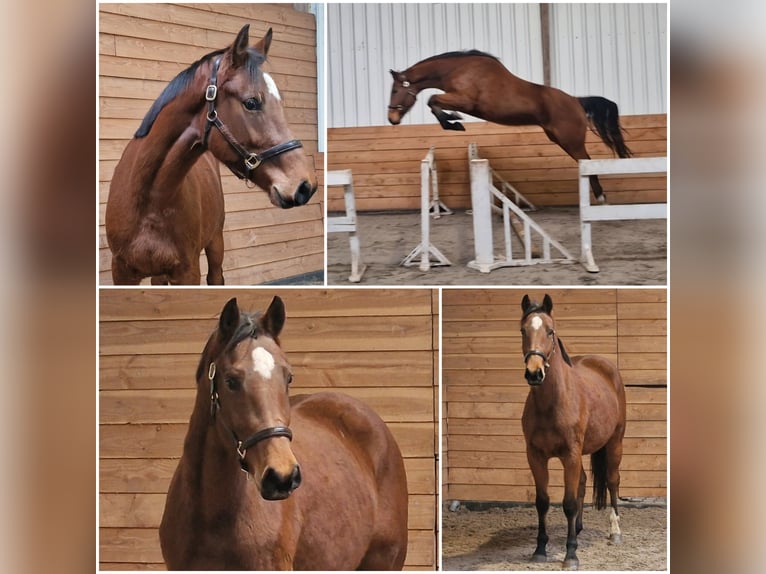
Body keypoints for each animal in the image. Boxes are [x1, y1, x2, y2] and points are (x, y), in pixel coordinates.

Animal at [105, 25, 317, 285]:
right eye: (251, 102)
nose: (305, 186)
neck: (149, 203)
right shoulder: (121, 272)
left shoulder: (188, 271)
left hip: (216, 242)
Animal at [387, 50, 632, 203]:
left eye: (395, 90)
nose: (392, 118)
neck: (458, 69)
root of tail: (576, 101)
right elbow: (434, 102)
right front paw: (453, 121)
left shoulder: (465, 100)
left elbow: (433, 100)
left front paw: (454, 122)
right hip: (559, 139)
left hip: (570, 141)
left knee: (588, 163)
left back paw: (600, 197)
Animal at [519, 294, 626, 570]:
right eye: (523, 330)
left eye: (550, 331)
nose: (534, 373)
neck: (552, 403)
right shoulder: (536, 456)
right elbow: (543, 502)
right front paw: (540, 549)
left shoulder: (570, 455)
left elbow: (567, 503)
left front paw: (571, 555)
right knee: (582, 482)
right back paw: (577, 528)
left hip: (614, 443)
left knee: (612, 481)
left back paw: (615, 532)